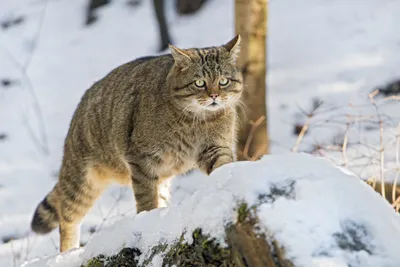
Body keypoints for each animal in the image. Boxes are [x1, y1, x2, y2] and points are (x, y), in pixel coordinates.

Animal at [29, 34, 242, 252]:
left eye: (223, 81)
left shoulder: (214, 148)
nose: (214, 96)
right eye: (199, 82)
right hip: (81, 182)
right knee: (67, 219)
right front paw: (148, 220)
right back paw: (68, 251)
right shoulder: (142, 159)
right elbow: (146, 198)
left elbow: (222, 164)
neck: (198, 121)